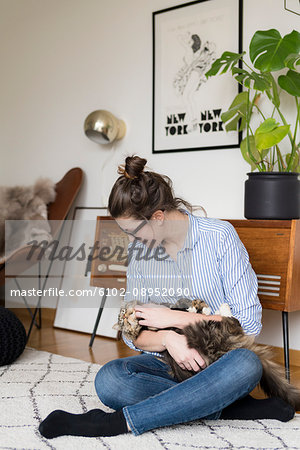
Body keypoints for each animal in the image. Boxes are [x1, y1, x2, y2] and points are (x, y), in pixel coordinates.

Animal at [115, 298, 300, 412]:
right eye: (124, 320)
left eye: (124, 314)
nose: (124, 315)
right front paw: (201, 307)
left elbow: (183, 309)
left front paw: (198, 305)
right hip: (211, 331)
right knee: (232, 322)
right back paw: (223, 307)